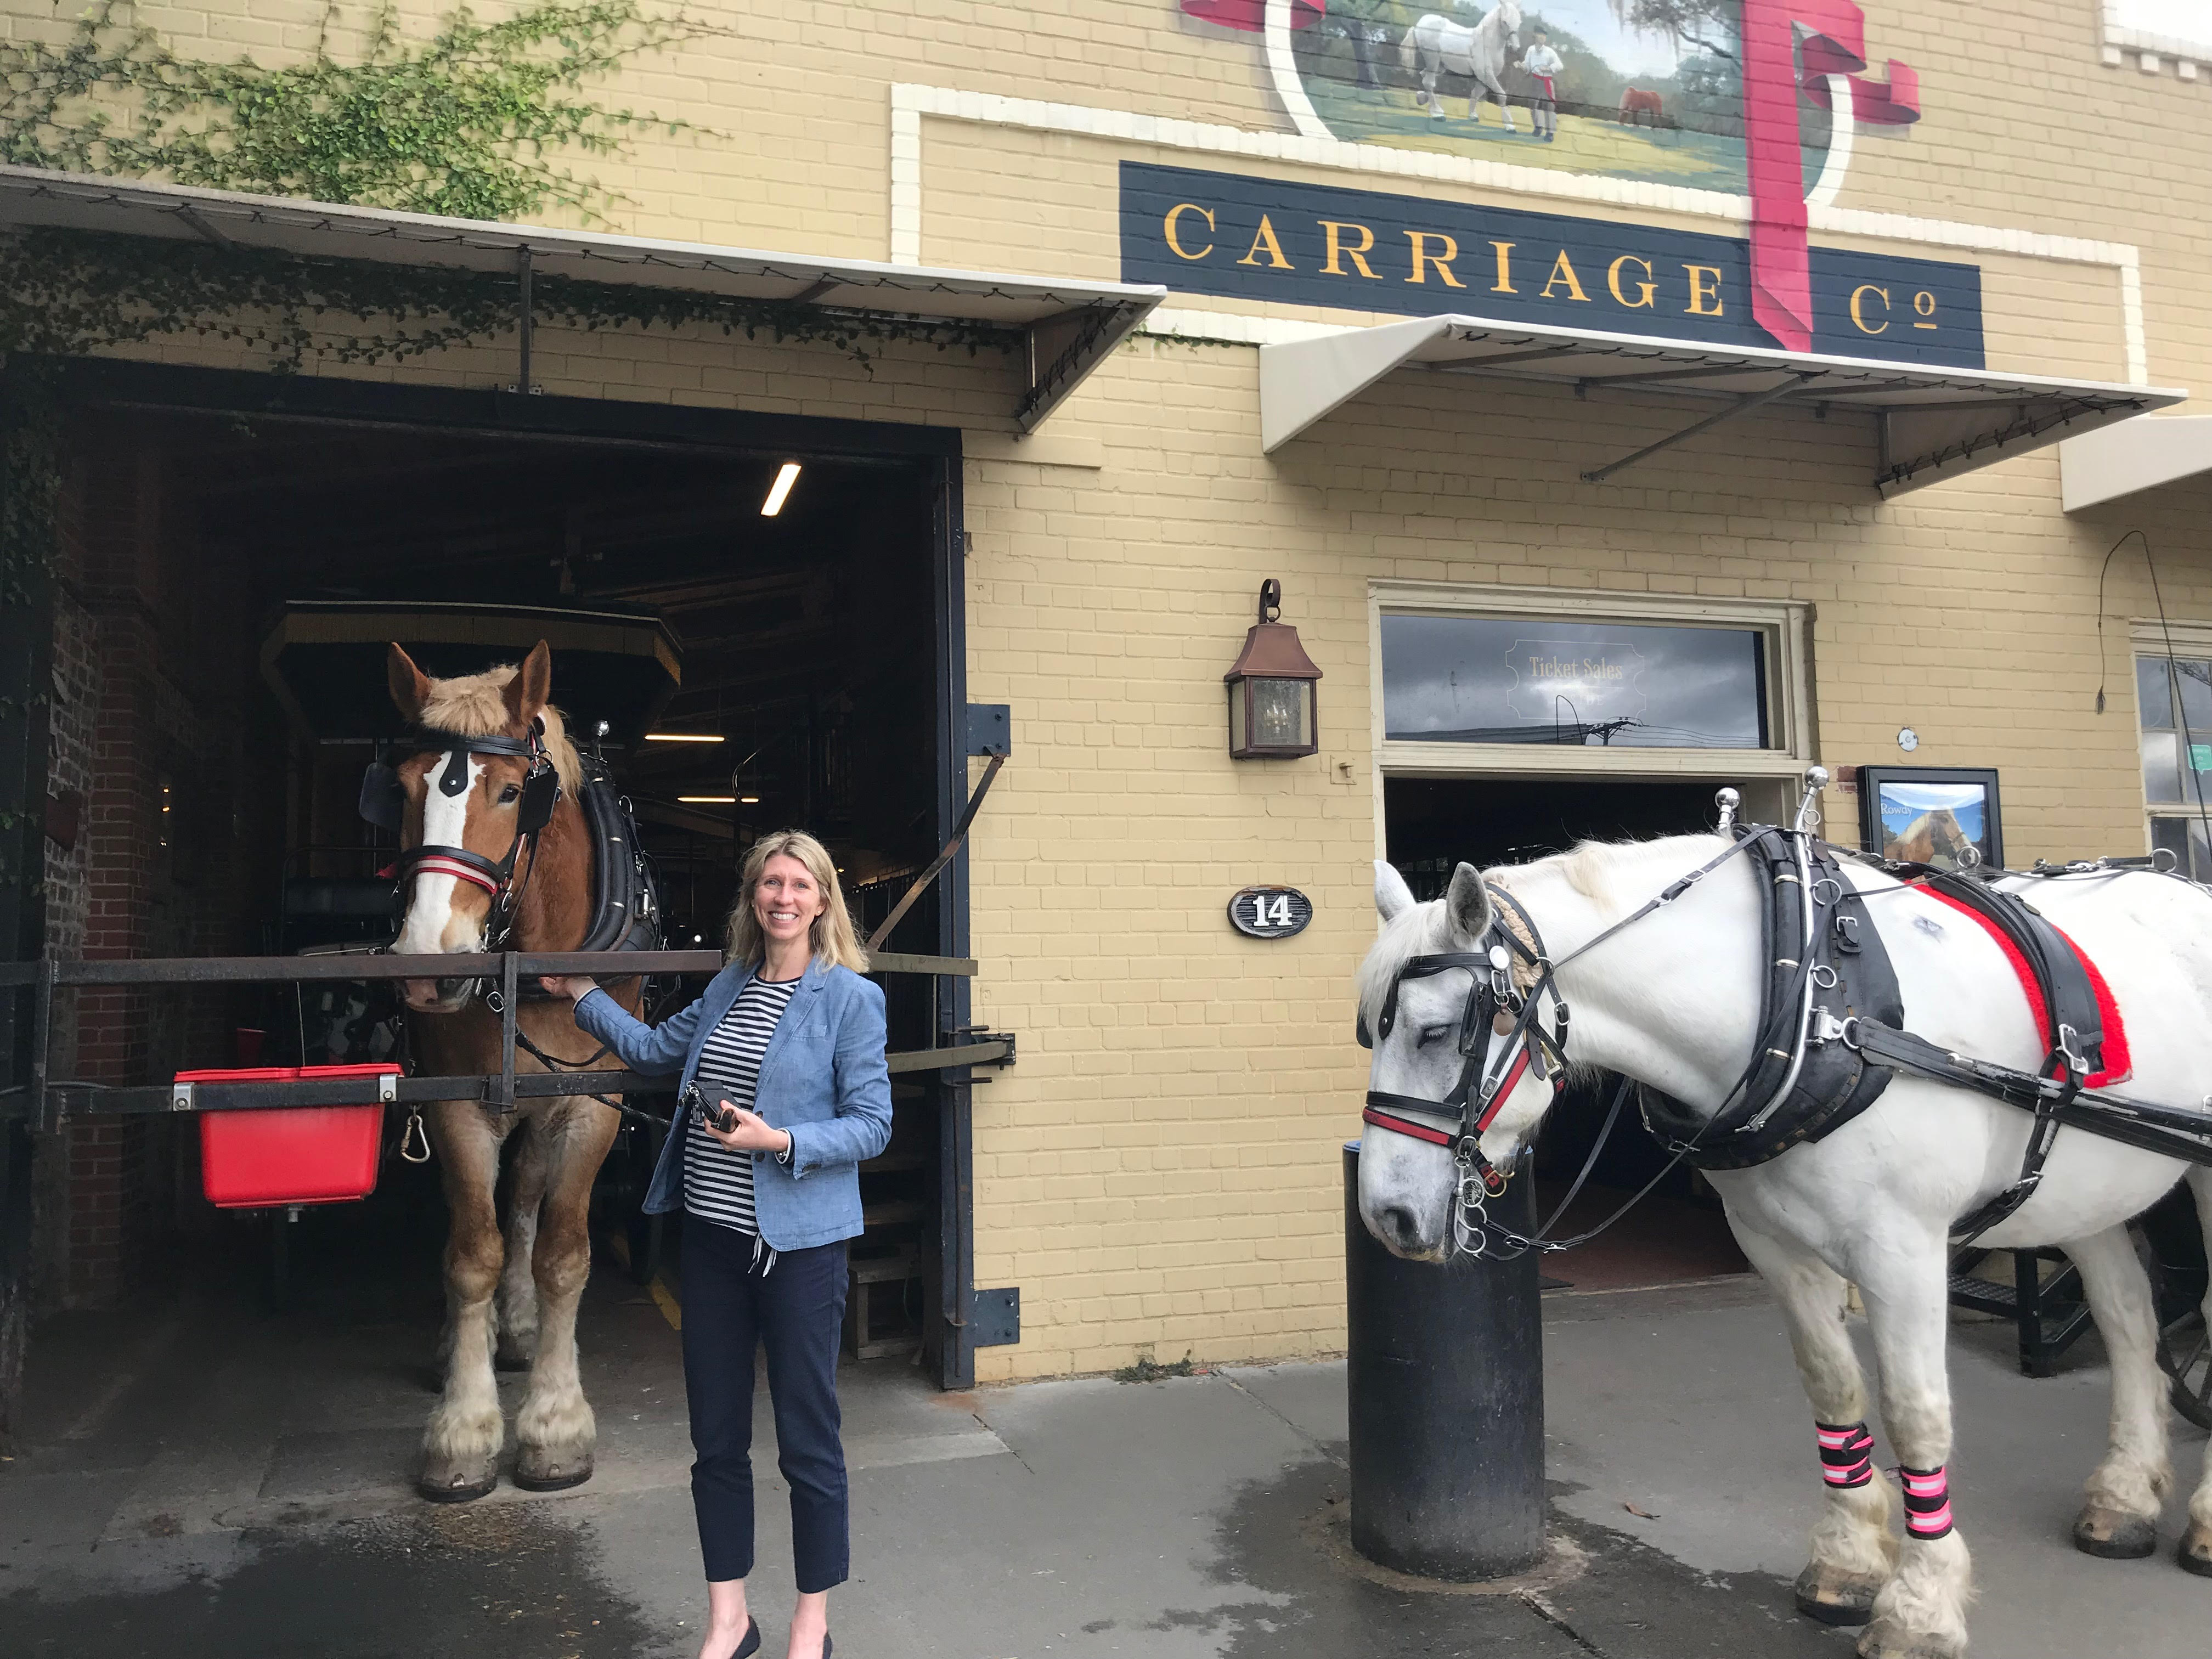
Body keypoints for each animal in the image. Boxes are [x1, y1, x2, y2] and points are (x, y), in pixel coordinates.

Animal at [378, 641, 641, 1504]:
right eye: (401, 788)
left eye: (509, 792)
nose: (430, 966)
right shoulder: (458, 1105)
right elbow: (472, 1255)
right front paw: (463, 1430)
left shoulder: (590, 1102)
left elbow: (560, 1253)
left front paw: (556, 1424)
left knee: (524, 1200)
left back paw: (520, 1329)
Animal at [1353, 836, 2212, 1654]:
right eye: (1372, 1030)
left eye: (1436, 1033)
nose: (1387, 1214)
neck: (1810, 1005)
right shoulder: (1773, 1243)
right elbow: (1832, 1386)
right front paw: (1848, 1561)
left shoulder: (1903, 1247)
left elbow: (1916, 1413)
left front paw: (1922, 1607)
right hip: (2091, 1189)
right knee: (2129, 1319)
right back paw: (2125, 1495)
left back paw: (2201, 1522)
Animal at [1398, 3, 1522, 131]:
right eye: (1505, 21)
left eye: (1519, 22)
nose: (1515, 47)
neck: (1486, 45)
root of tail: (1420, 23)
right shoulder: (1486, 76)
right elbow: (1502, 95)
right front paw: (1510, 126)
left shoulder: (1483, 79)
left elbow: (1476, 93)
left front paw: (1473, 116)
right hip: (1433, 60)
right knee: (1428, 82)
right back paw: (1437, 114)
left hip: (1440, 67)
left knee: (1424, 77)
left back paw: (1422, 99)